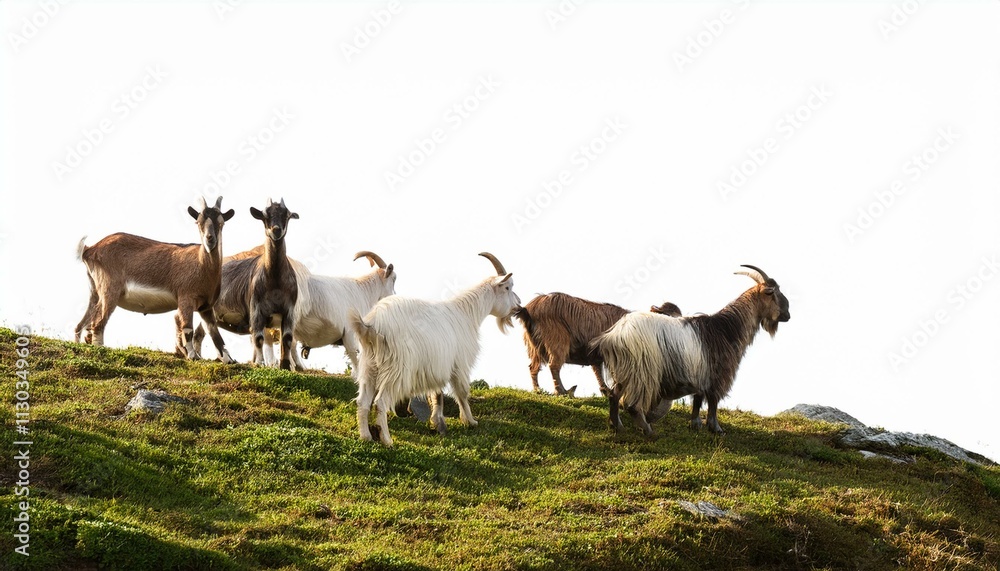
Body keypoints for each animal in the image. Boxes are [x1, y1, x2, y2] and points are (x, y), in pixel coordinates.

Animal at [75, 197, 236, 362]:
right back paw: (100, 348)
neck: (202, 264)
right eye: (198, 222)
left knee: (81, 324)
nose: (210, 239)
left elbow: (215, 333)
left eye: (221, 223)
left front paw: (228, 359)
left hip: (95, 290)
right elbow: (187, 327)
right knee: (97, 322)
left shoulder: (206, 307)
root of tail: (89, 249)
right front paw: (193, 356)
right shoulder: (186, 298)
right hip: (109, 290)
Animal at [208, 198, 300, 369]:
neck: (275, 281)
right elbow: (258, 337)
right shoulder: (256, 308)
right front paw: (259, 363)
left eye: (287, 215)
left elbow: (287, 337)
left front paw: (285, 366)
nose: (276, 230)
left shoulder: (289, 309)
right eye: (265, 216)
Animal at [351, 252, 521, 446]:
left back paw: (365, 436)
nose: (518, 305)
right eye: (507, 287)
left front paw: (438, 421)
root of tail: (372, 324)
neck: (467, 313)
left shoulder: (438, 365)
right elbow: (462, 393)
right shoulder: (460, 365)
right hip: (396, 370)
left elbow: (437, 394)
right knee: (380, 402)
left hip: (369, 367)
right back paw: (387, 440)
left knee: (363, 402)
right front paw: (470, 421)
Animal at [514, 294, 682, 397]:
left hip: (535, 347)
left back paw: (538, 389)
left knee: (533, 367)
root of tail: (529, 309)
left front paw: (605, 391)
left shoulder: (598, 357)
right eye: (668, 317)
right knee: (554, 366)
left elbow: (598, 371)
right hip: (557, 341)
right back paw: (561, 391)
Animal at [594, 265, 790, 436]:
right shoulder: (718, 374)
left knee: (614, 396)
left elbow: (697, 399)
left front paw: (695, 424)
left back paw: (617, 426)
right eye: (774, 292)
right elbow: (713, 401)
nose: (787, 315)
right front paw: (716, 428)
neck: (727, 328)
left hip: (625, 371)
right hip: (643, 371)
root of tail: (616, 335)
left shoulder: (700, 373)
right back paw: (648, 431)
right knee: (632, 404)